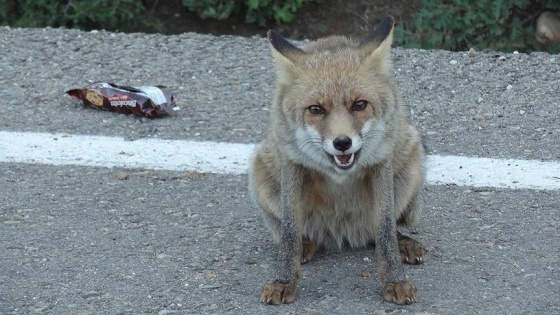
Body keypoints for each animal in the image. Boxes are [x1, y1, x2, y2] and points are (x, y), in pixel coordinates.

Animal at [247, 15, 426, 306]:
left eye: (359, 105)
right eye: (316, 109)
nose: (342, 142)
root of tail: (343, 233)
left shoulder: (381, 163)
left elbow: (385, 231)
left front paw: (395, 280)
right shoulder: (293, 164)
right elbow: (289, 233)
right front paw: (284, 280)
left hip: (412, 162)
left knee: (376, 233)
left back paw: (404, 243)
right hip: (260, 172)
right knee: (293, 233)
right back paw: (306, 245)